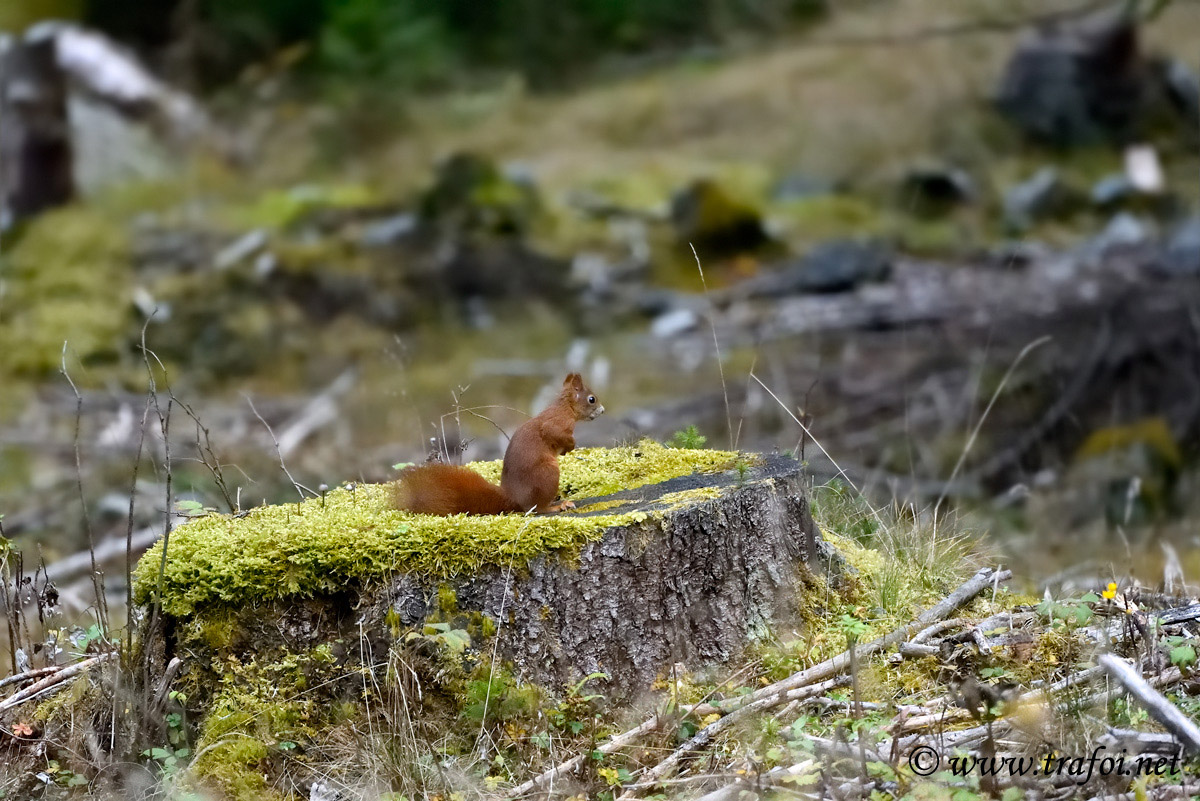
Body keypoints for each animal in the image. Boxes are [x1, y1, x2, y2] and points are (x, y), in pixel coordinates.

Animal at [393, 373, 604, 516]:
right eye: (591, 399)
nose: (602, 410)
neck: (565, 408)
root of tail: (513, 498)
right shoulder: (556, 424)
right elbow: (557, 434)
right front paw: (570, 446)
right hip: (547, 474)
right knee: (536, 509)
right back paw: (557, 505)